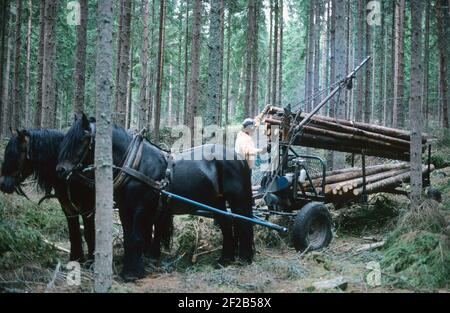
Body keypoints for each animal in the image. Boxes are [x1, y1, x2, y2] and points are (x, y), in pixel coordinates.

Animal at [0, 127, 95, 260]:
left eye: (15, 153)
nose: (3, 184)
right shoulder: (68, 208)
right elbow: (74, 232)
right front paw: (76, 258)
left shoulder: (88, 208)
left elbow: (89, 233)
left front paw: (92, 260)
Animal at [55, 113, 253, 280]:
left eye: (81, 140)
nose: (60, 170)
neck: (134, 163)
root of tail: (239, 157)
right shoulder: (125, 208)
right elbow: (128, 237)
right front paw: (130, 269)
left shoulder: (142, 207)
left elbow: (136, 237)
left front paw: (133, 273)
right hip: (217, 201)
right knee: (227, 225)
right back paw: (225, 260)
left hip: (238, 200)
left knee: (243, 224)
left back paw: (244, 258)